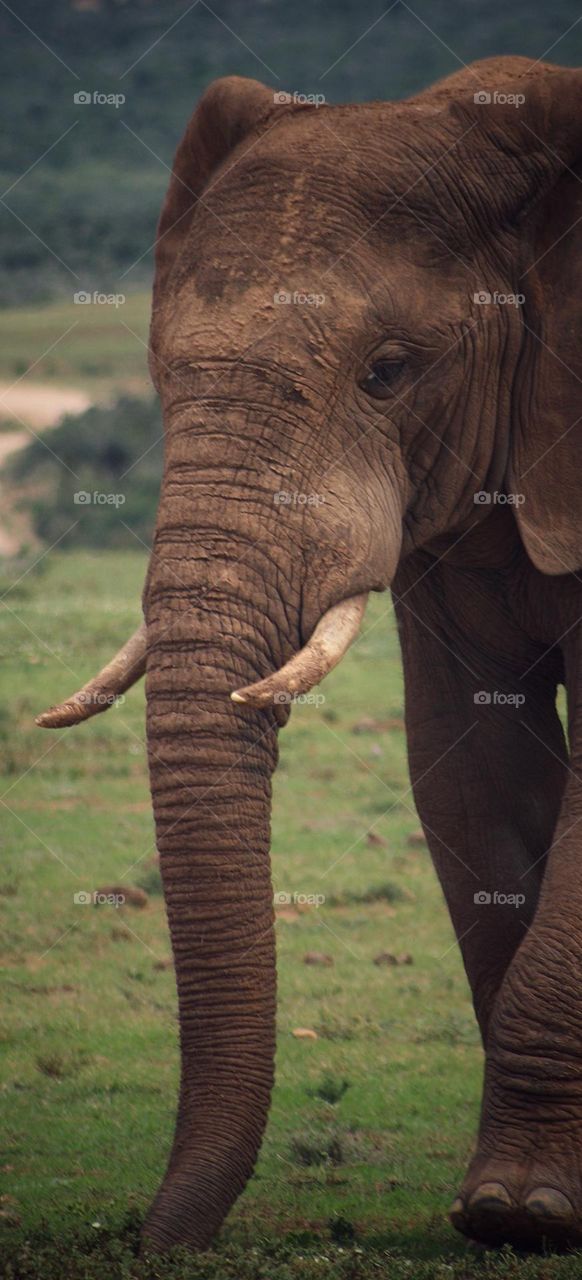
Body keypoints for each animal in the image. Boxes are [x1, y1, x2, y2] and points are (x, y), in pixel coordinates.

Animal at [37, 57, 582, 1249]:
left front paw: (523, 1213)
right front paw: (513, 1205)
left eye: (389, 371)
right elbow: (469, 764)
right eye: (162, 372)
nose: (154, 1241)